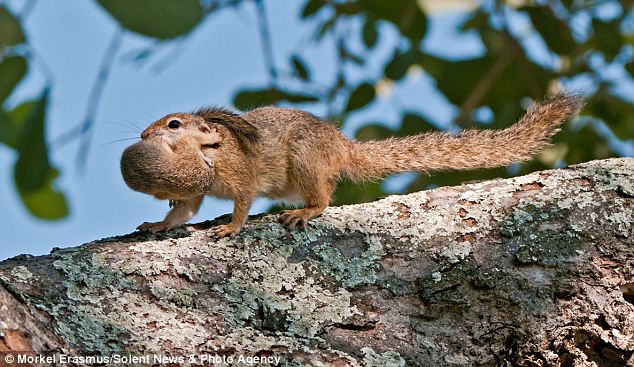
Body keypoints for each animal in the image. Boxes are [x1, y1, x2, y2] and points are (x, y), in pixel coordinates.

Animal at [119, 93, 584, 239]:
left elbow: (243, 199)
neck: (209, 150)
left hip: (306, 161)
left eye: (174, 125)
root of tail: (341, 147)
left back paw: (307, 210)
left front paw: (232, 227)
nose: (143, 135)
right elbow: (183, 212)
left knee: (324, 197)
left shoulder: (238, 171)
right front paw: (157, 224)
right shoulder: (195, 191)